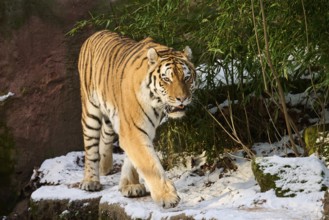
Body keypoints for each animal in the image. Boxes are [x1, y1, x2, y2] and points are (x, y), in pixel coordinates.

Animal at [77, 29, 195, 208]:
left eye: (187, 78)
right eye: (166, 79)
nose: (182, 98)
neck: (157, 103)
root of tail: (96, 33)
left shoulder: (140, 128)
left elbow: (132, 159)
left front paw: (130, 186)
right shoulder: (133, 131)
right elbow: (149, 163)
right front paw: (167, 197)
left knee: (105, 135)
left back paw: (105, 166)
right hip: (90, 111)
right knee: (90, 147)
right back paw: (91, 181)